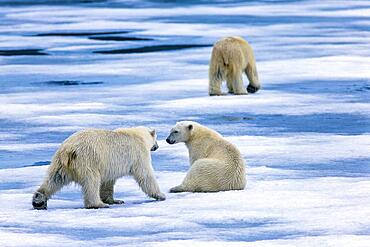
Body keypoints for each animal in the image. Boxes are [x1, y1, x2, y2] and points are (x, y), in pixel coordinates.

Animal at [32, 126, 165, 209]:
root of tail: (68, 150)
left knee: (54, 180)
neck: (137, 135)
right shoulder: (138, 154)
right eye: (156, 138)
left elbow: (107, 183)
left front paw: (115, 200)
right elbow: (145, 175)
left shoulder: (109, 166)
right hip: (88, 161)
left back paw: (39, 200)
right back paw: (98, 204)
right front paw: (161, 195)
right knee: (92, 182)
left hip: (59, 164)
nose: (157, 146)